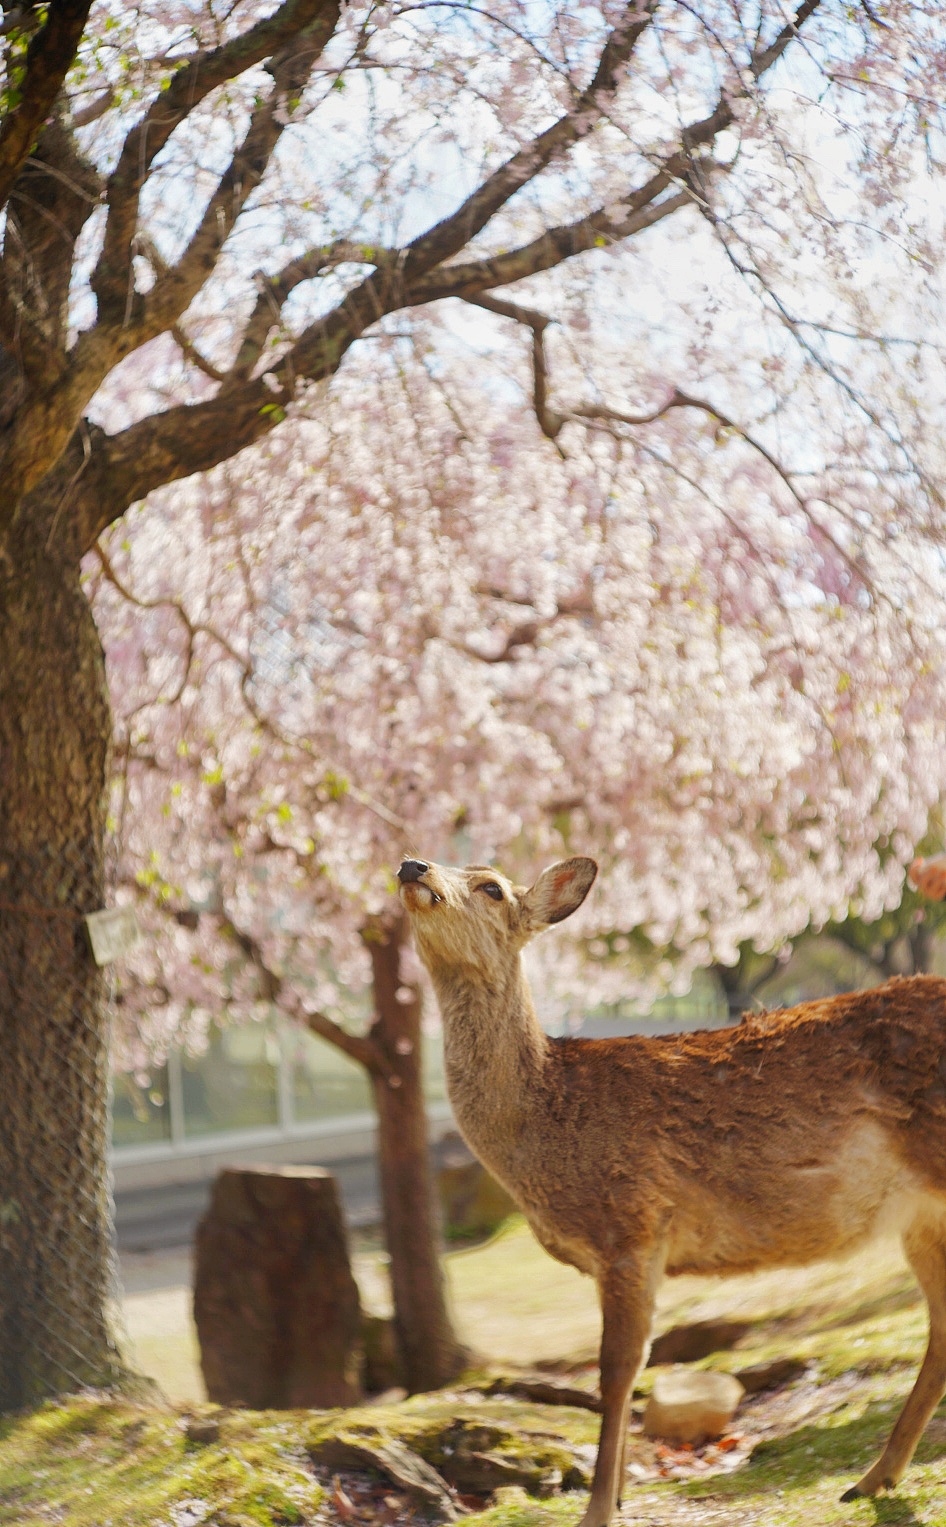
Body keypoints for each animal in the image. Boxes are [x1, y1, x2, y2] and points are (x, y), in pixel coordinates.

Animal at [397, 854, 946, 1527]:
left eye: (492, 886)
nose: (412, 865)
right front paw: (617, 1494)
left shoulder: (631, 1224)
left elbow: (616, 1371)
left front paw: (598, 1509)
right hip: (919, 1216)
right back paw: (873, 1479)